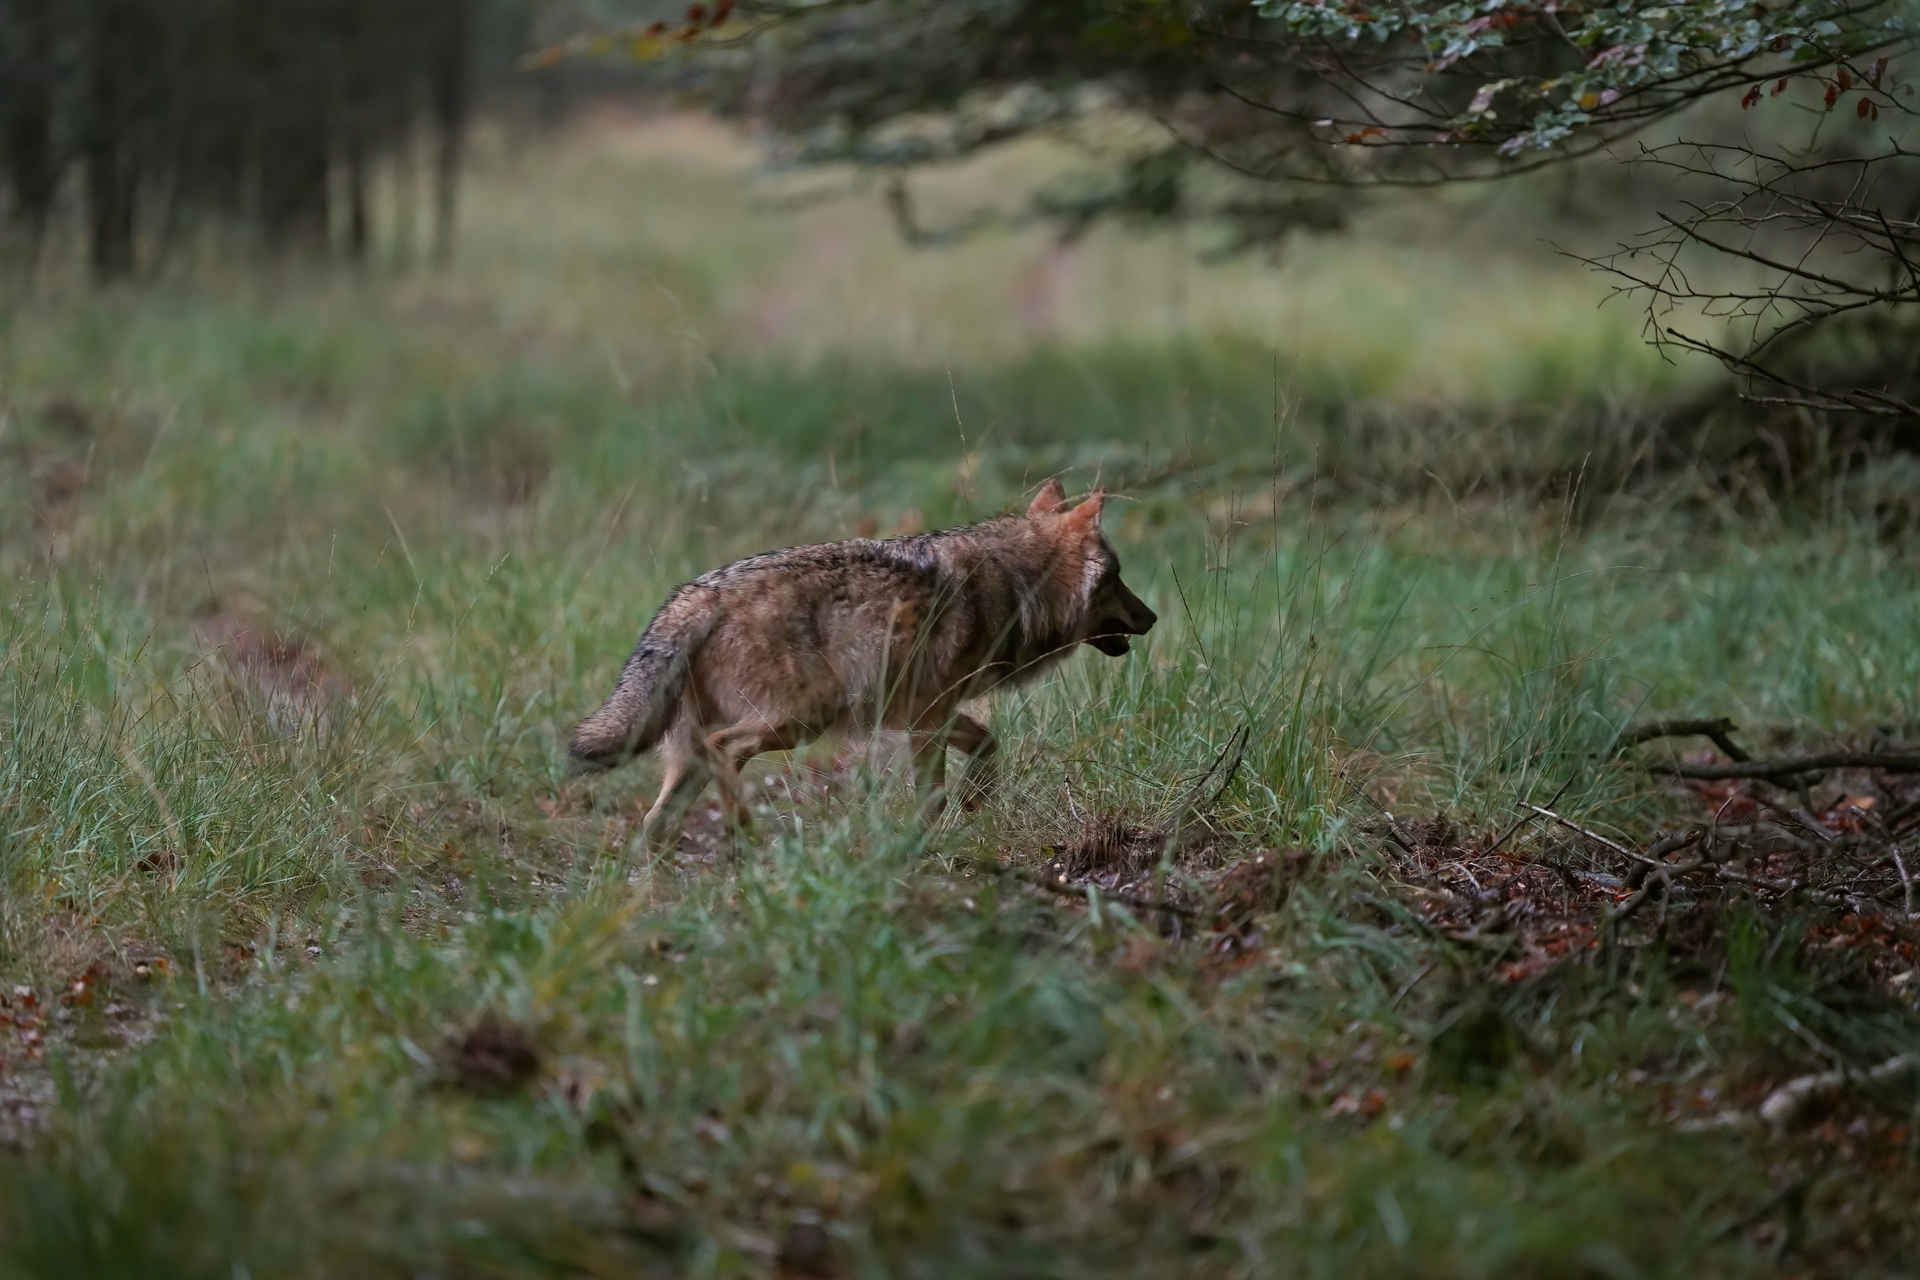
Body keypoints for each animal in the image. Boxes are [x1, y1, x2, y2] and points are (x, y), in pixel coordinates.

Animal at [568, 479, 1152, 852]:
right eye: (1119, 576)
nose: (1152, 616)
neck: (1019, 585)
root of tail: (696, 595)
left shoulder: (927, 714)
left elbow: (988, 746)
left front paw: (975, 802)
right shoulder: (926, 720)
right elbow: (933, 796)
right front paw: (925, 844)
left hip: (701, 753)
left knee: (653, 825)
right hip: (802, 720)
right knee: (724, 753)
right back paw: (748, 843)